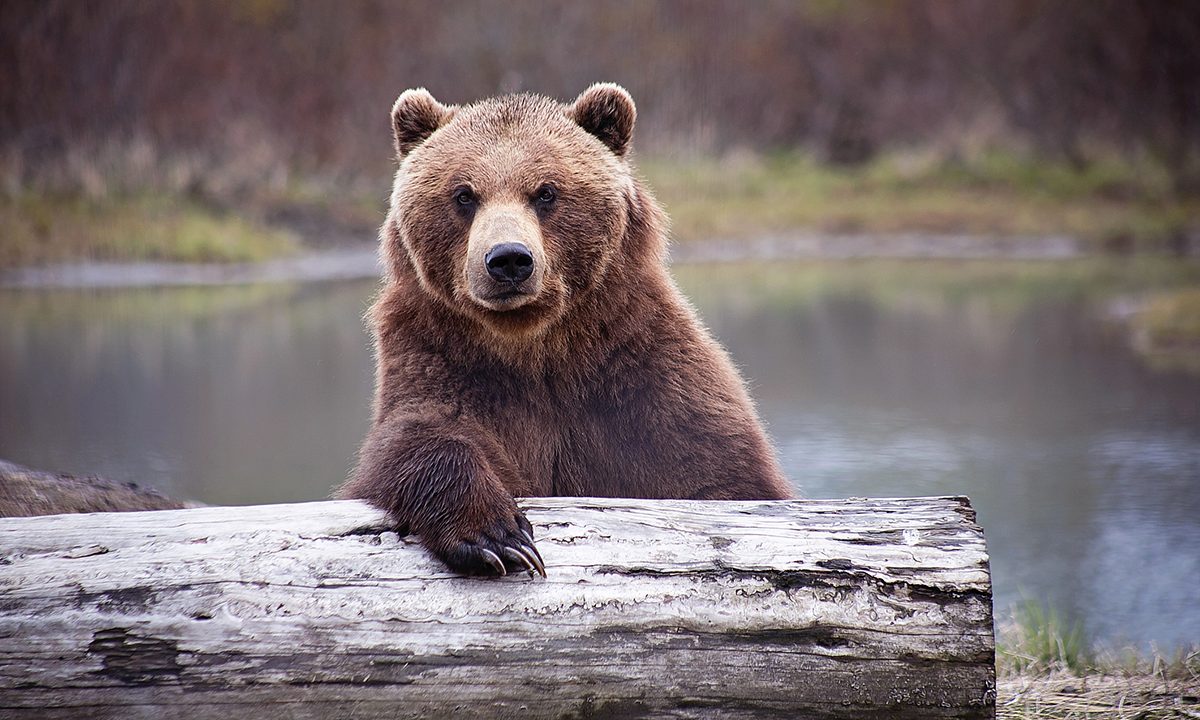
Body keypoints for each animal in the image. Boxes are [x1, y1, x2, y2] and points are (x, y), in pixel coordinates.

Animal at [338, 85, 787, 578]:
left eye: (546, 192)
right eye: (463, 194)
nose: (508, 259)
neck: (536, 347)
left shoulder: (644, 377)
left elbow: (720, 473)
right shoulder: (438, 358)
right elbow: (417, 436)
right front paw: (498, 537)